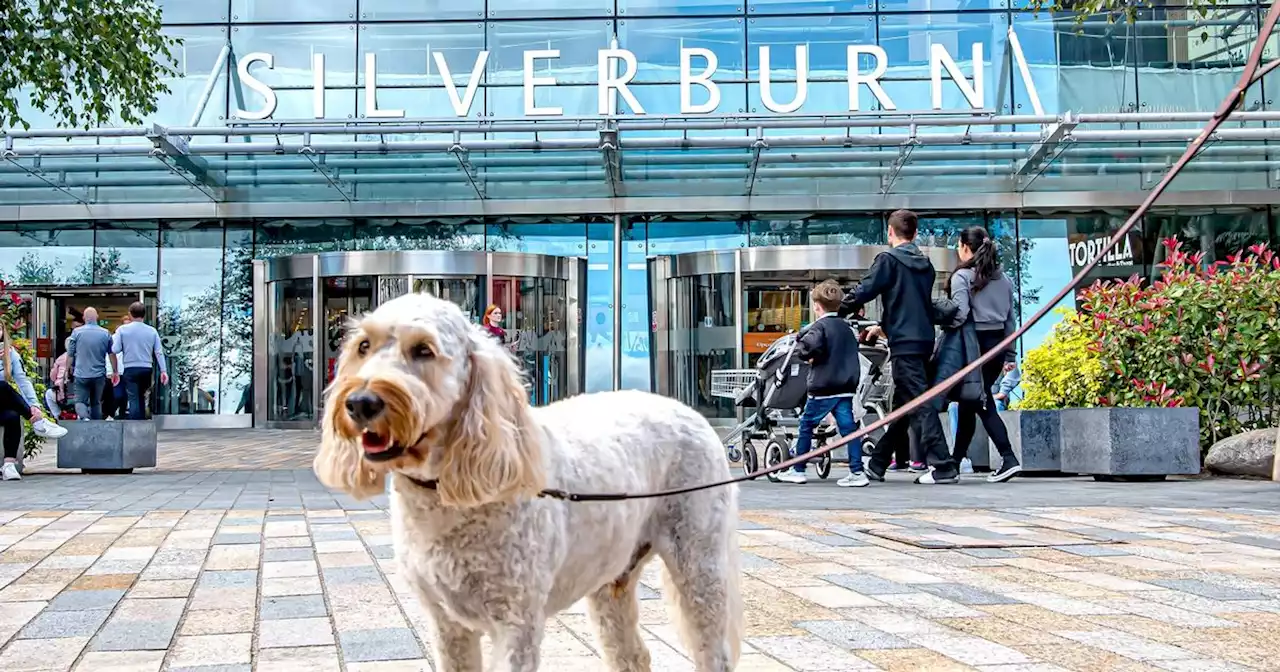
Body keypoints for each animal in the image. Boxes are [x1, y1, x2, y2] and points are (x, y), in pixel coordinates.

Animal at [312, 293, 742, 670]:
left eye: (423, 350)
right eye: (363, 346)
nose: (360, 403)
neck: (443, 490)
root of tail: (690, 411)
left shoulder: (516, 622)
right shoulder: (446, 624)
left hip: (699, 561)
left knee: (713, 651)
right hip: (611, 579)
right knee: (630, 655)